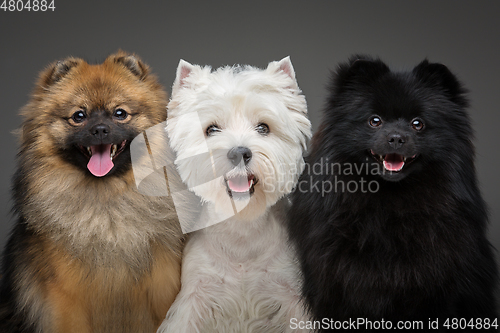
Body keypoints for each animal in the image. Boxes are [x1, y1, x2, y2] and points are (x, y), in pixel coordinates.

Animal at [0, 51, 184, 332]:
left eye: (120, 113)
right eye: (79, 116)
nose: (99, 130)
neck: (108, 209)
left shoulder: (162, 289)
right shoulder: (67, 299)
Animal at [158, 57, 310, 332]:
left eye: (263, 127)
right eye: (211, 129)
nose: (239, 152)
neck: (242, 231)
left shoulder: (292, 295)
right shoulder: (194, 294)